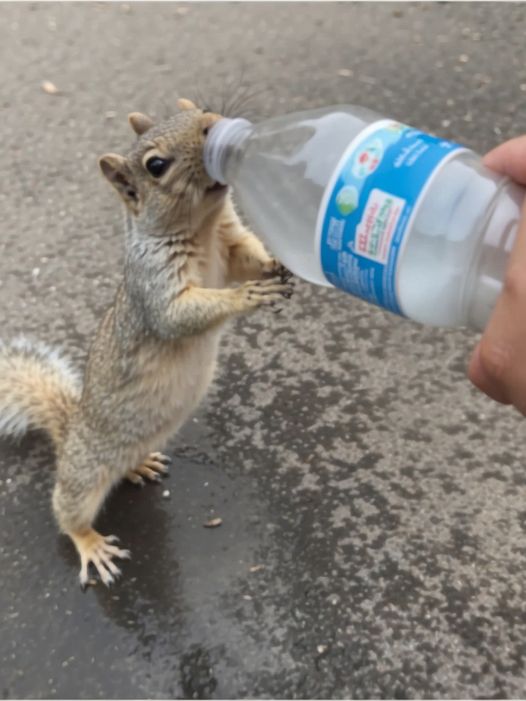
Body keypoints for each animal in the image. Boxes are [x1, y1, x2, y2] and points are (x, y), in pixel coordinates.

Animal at [0, 98, 294, 588]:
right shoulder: (156, 286)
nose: (214, 126)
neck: (203, 227)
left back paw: (140, 465)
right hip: (86, 473)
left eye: (199, 108)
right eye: (156, 166)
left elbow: (248, 256)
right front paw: (246, 297)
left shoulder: (231, 241)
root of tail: (70, 432)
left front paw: (277, 265)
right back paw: (91, 544)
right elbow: (181, 315)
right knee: (66, 510)